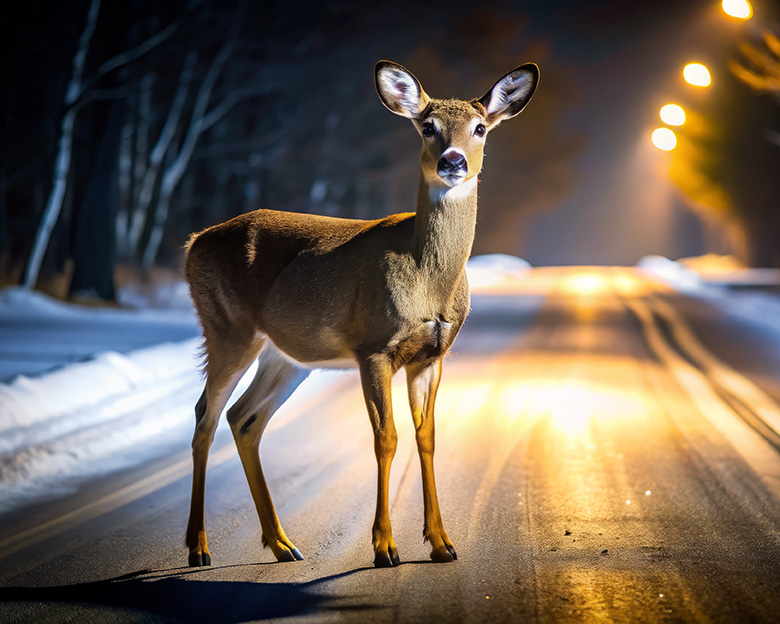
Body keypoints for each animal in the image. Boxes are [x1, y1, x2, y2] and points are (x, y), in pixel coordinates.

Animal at [184, 59, 536, 572]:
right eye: (427, 127)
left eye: (480, 128)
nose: (453, 162)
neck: (428, 282)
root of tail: (193, 242)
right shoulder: (374, 347)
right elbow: (386, 439)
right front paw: (385, 547)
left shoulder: (432, 356)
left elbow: (427, 438)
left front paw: (442, 544)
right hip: (226, 327)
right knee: (204, 417)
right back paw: (199, 548)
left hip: (286, 355)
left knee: (243, 418)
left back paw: (283, 544)